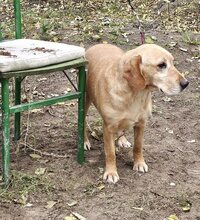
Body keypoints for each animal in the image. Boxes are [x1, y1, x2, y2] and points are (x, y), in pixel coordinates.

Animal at [83, 43, 188, 184]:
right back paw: (85, 141)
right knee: (82, 121)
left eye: (172, 62)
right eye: (161, 65)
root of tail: (99, 44)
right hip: (85, 100)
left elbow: (138, 146)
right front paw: (111, 172)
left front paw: (139, 163)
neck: (135, 94)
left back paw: (122, 140)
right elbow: (110, 153)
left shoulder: (141, 123)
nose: (186, 83)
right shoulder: (108, 127)